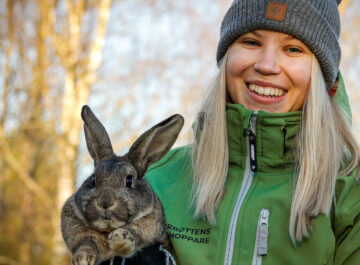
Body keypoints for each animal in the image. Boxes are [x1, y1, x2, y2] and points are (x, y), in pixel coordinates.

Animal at [61, 105, 183, 264]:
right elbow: (86, 241)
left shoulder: (151, 224)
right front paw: (82, 258)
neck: (108, 228)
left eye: (129, 181)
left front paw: (120, 241)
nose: (105, 202)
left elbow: (136, 233)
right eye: (93, 179)